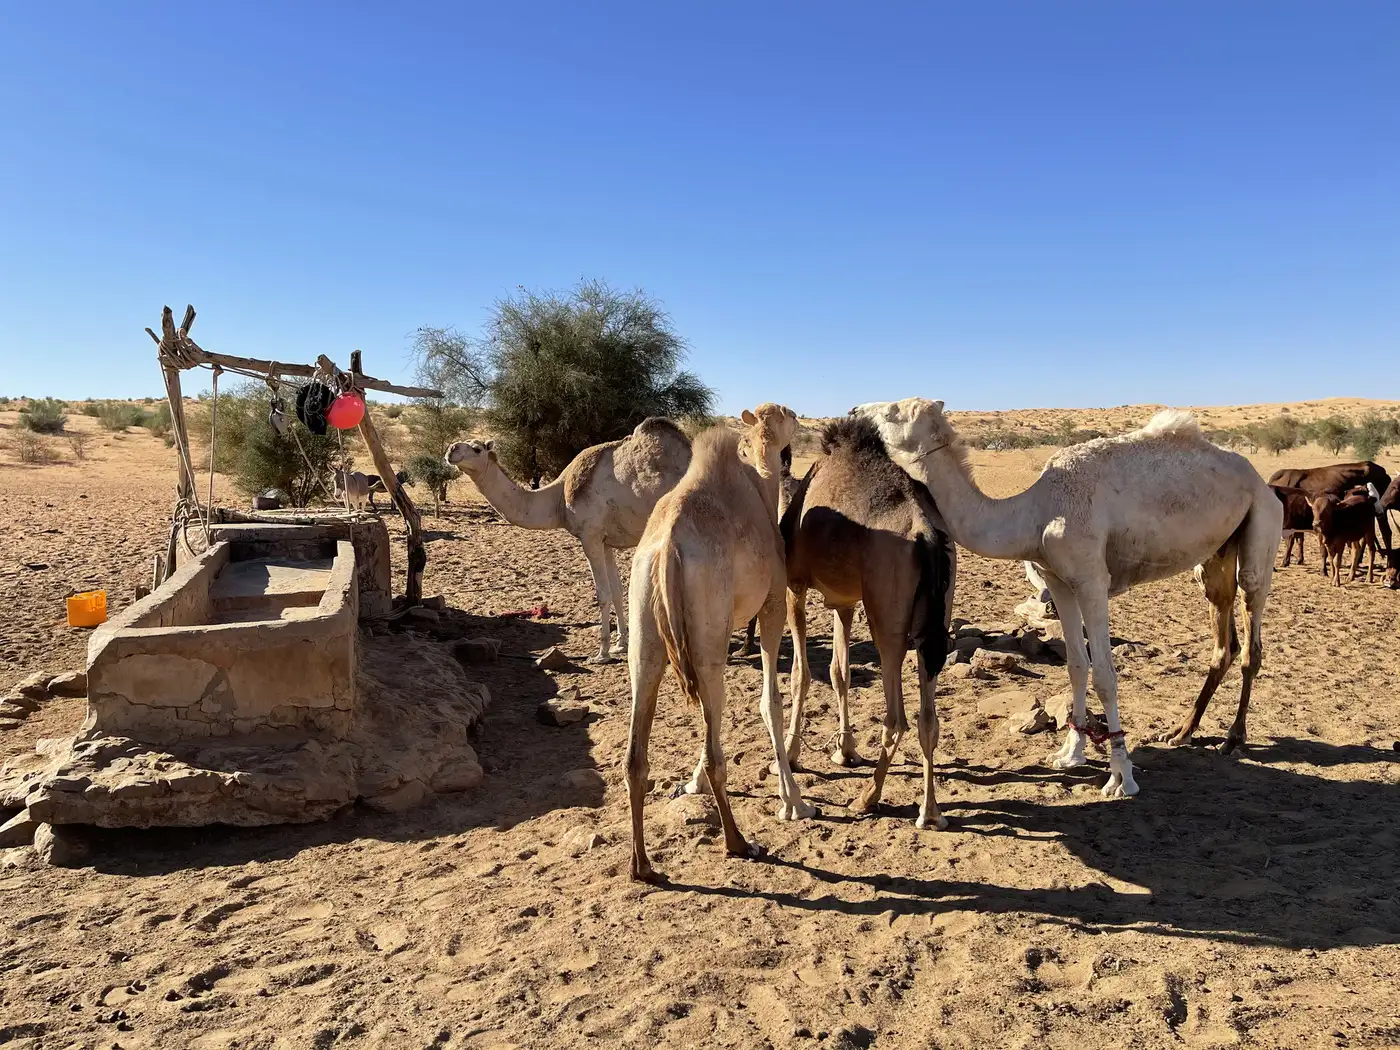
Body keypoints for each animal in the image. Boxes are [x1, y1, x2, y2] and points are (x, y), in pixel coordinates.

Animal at [445, 414, 691, 660]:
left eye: (477, 449)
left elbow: (602, 594)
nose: (451, 449)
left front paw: (602, 653)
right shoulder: (605, 540)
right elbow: (617, 591)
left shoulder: (589, 535)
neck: (558, 499)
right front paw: (620, 644)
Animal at [624, 406, 812, 884]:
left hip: (647, 631)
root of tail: (668, 549)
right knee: (716, 750)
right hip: (708, 628)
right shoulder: (772, 601)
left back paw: (642, 866)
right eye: (787, 414)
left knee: (636, 753)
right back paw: (738, 842)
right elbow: (769, 702)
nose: (800, 418)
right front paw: (794, 801)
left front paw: (689, 785)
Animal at [784, 420, 957, 828]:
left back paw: (867, 798)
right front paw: (845, 750)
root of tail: (927, 532)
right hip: (938, 614)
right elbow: (839, 672)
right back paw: (930, 812)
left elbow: (802, 674)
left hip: (887, 615)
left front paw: (791, 754)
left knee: (897, 718)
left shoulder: (794, 584)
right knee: (929, 718)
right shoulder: (845, 600)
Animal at [845, 400, 1282, 795]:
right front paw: (1070, 752)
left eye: (896, 410)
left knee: (1252, 633)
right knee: (1223, 639)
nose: (852, 411)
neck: (1035, 512)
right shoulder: (1058, 581)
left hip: (1262, 524)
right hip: (1215, 556)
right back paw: (1182, 732)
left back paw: (1233, 738)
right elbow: (1075, 665)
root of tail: (1261, 480)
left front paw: (1121, 776)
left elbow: (1105, 674)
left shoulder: (1091, 579)